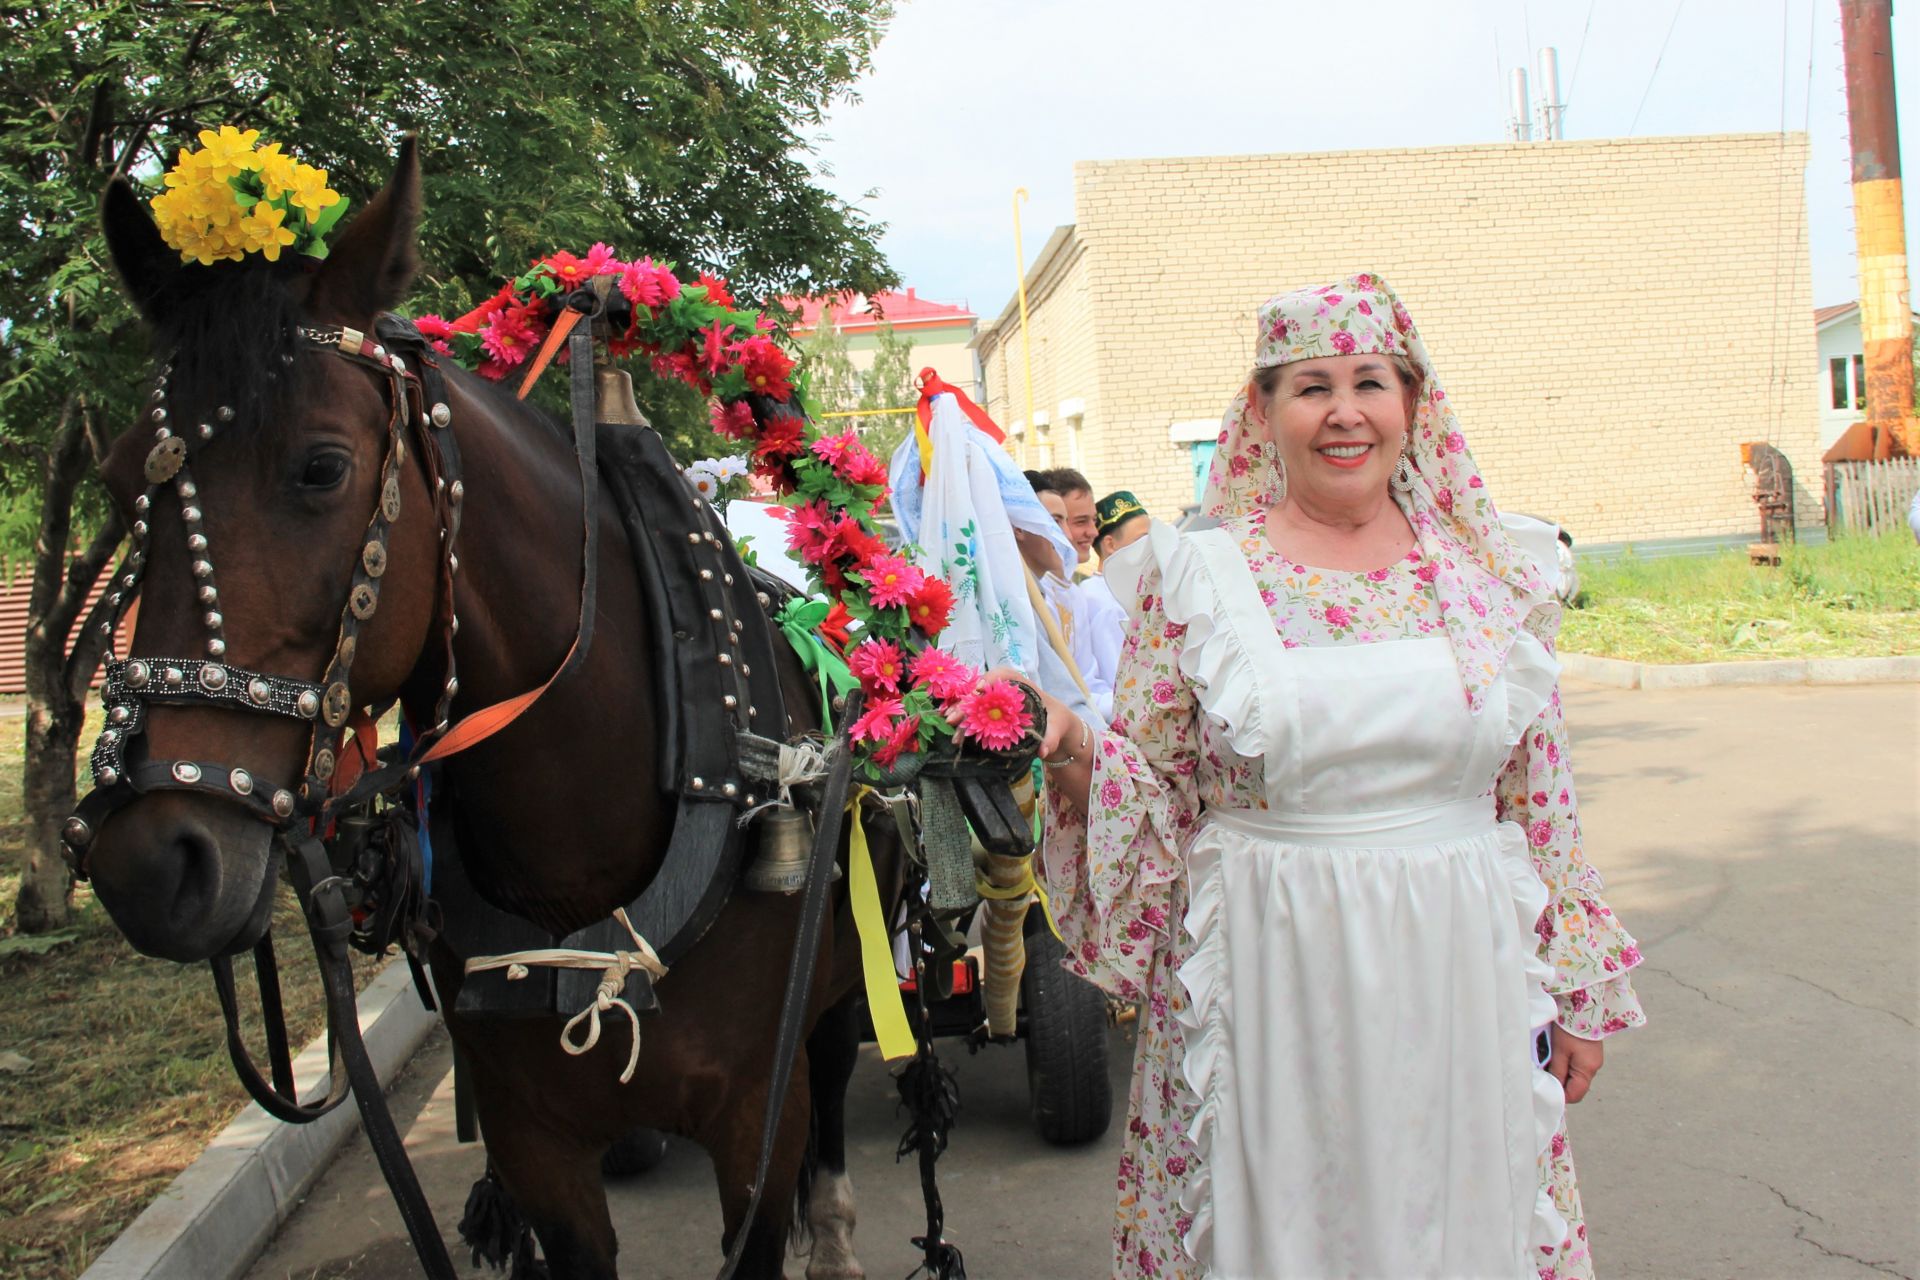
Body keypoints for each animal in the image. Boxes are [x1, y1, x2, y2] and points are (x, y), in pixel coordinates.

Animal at [86, 142, 894, 1280]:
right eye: (119, 480)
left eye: (322, 466)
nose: (153, 860)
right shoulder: (534, 1140)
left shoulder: (754, 1128)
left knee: (827, 1073)